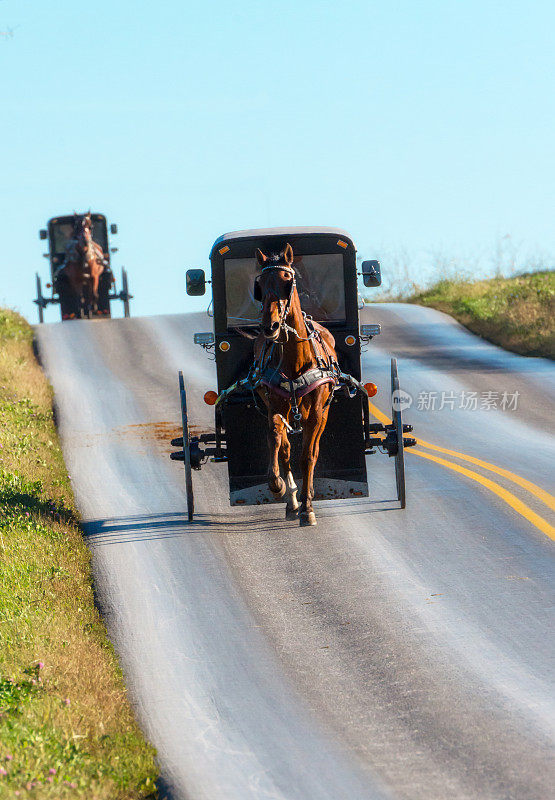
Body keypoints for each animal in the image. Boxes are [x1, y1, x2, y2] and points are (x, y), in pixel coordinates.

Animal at [253, 247, 338, 528]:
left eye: (286, 281)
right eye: (260, 285)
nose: (270, 327)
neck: (296, 360)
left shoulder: (317, 413)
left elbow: (308, 456)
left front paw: (308, 507)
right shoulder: (276, 405)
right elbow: (276, 440)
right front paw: (278, 485)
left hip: (323, 412)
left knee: (313, 449)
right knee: (285, 447)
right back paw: (291, 499)